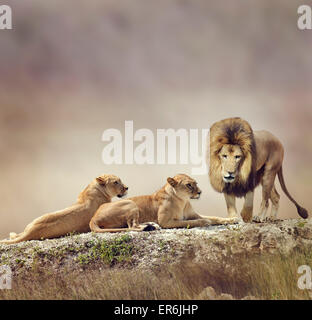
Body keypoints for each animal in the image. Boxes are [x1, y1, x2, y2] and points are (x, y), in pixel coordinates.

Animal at [89, 174, 238, 234]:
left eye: (196, 183)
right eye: (189, 185)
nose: (200, 192)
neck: (183, 201)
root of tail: (93, 217)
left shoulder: (193, 214)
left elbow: (215, 217)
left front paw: (233, 219)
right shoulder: (166, 222)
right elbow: (189, 222)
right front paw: (205, 222)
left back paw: (151, 224)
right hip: (130, 203)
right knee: (132, 226)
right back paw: (150, 227)